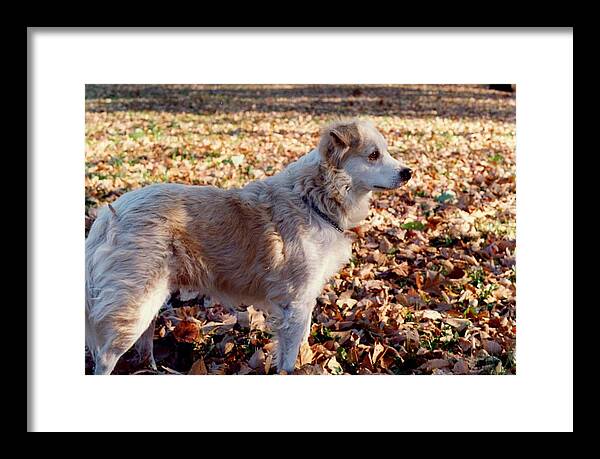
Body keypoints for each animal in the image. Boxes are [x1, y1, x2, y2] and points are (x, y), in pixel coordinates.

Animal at [84, 118, 412, 374]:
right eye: (373, 155)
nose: (408, 172)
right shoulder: (296, 303)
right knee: (105, 357)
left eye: (385, 152)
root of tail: (111, 213)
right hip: (135, 304)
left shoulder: (303, 302)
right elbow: (289, 356)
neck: (313, 198)